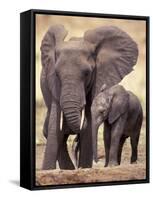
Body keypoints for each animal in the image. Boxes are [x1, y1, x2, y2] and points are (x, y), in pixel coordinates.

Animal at [40, 24, 138, 170]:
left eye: (87, 73)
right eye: (56, 74)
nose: (83, 119)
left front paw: (84, 167)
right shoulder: (53, 85)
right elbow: (54, 127)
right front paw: (47, 170)